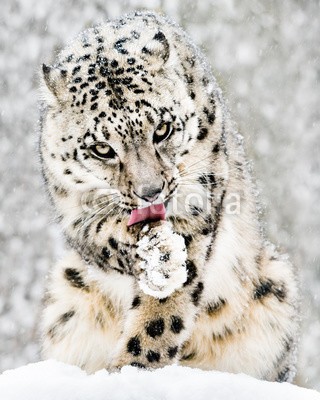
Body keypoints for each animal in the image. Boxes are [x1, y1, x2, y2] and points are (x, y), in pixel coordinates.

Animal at [40, 10, 300, 382]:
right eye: (101, 148)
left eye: (162, 129)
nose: (150, 192)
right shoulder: (73, 209)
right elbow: (102, 236)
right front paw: (155, 253)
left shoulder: (199, 192)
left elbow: (164, 310)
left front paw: (134, 366)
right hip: (67, 294)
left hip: (275, 286)